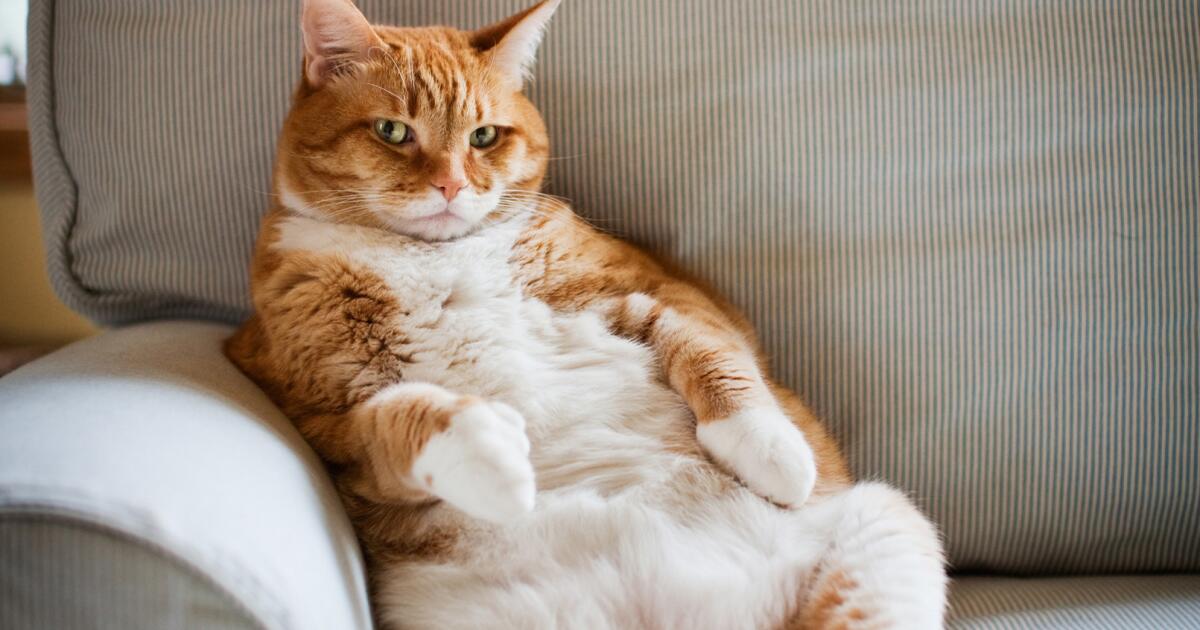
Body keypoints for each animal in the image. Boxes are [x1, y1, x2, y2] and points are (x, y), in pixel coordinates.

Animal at [226, 2, 945, 624]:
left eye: (484, 136)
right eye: (392, 131)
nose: (452, 185)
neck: (433, 258)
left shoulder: (653, 291)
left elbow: (715, 351)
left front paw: (767, 447)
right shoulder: (320, 415)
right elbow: (387, 421)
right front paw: (483, 449)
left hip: (889, 523)